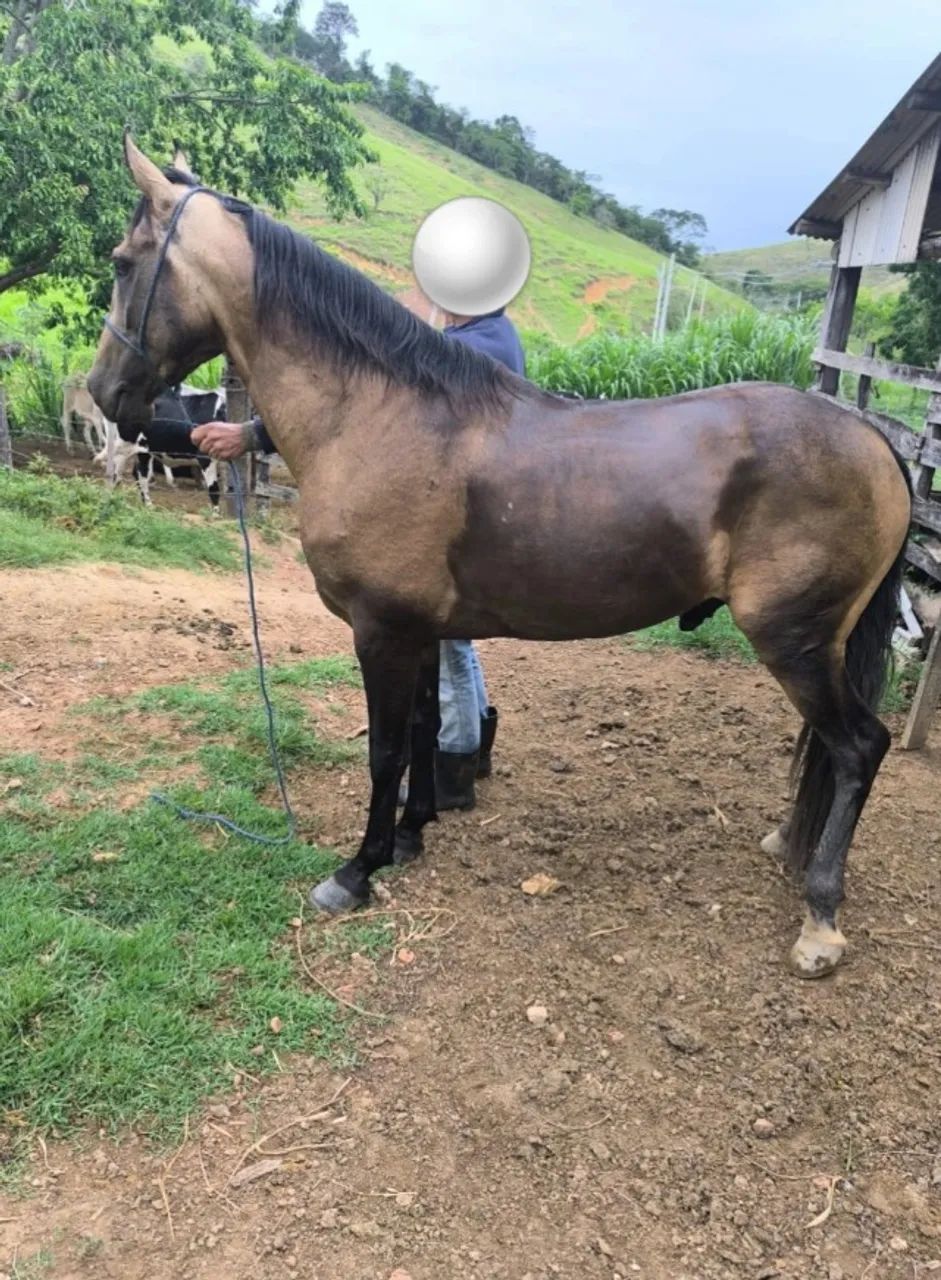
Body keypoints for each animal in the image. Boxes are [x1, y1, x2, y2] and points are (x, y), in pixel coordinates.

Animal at [87, 137, 912, 979]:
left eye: (121, 262)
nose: (106, 393)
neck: (378, 415)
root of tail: (871, 438)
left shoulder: (379, 630)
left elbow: (385, 749)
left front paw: (357, 870)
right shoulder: (417, 629)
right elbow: (424, 730)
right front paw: (409, 836)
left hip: (793, 641)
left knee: (858, 748)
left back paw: (820, 916)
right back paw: (788, 843)